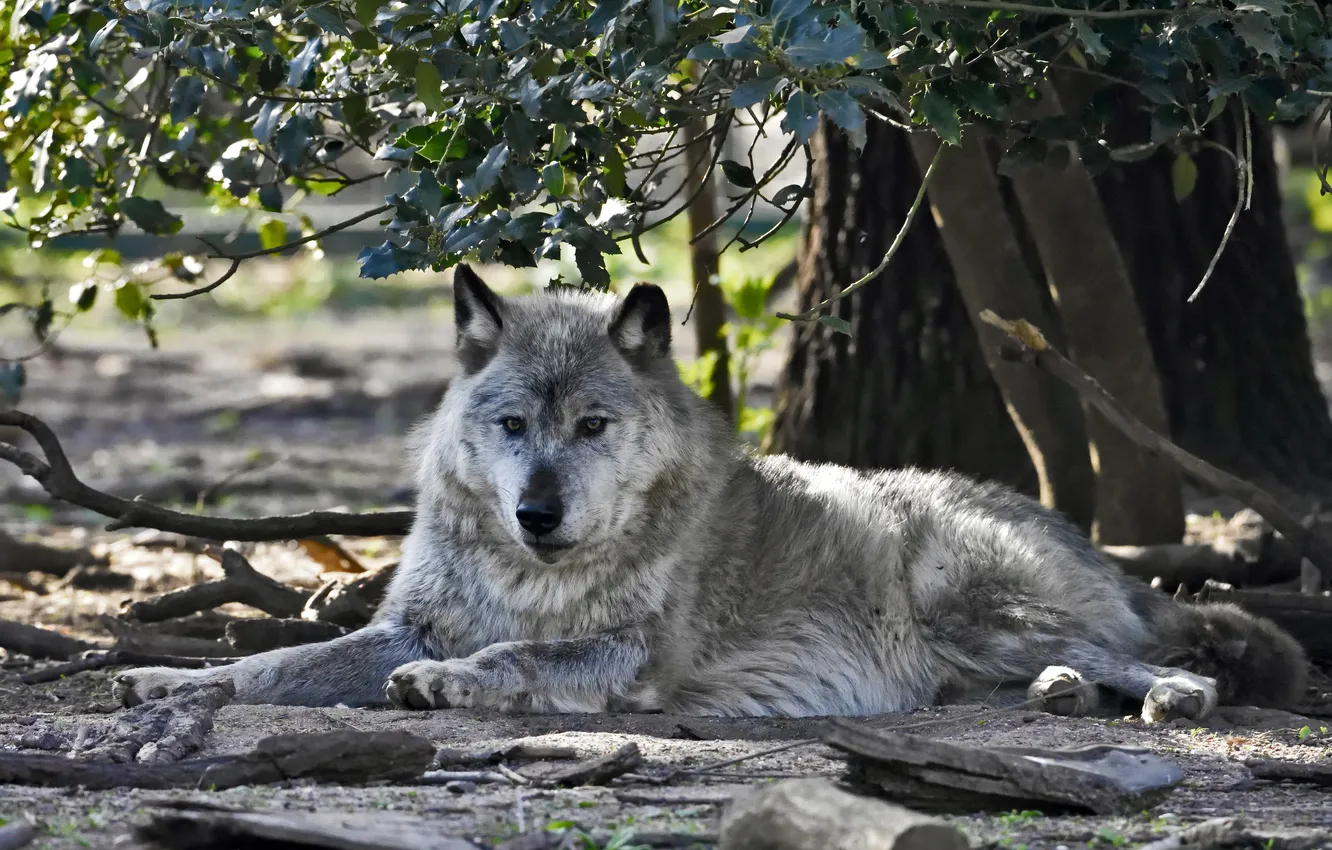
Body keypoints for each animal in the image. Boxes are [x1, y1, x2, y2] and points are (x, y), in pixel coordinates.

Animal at [112, 265, 1308, 723]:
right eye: (514, 427)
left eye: (593, 427)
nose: (537, 512)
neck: (528, 573)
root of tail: (1082, 535)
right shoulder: (405, 623)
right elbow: (272, 665)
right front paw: (168, 684)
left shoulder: (633, 656)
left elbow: (514, 657)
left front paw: (451, 686)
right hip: (974, 642)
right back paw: (1062, 692)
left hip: (965, 603)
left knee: (1167, 656)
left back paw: (1161, 694)